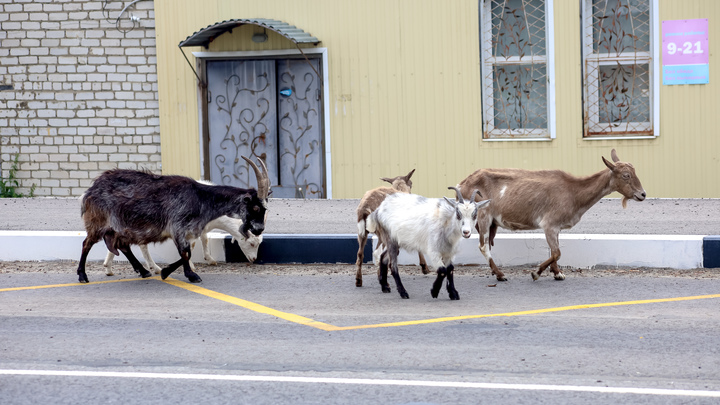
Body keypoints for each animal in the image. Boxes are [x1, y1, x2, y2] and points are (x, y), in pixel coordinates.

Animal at [104, 216, 264, 276]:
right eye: (252, 243)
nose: (254, 259)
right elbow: (191, 246)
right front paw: (191, 267)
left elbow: (204, 239)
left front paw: (210, 259)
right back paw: (154, 268)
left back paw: (108, 268)